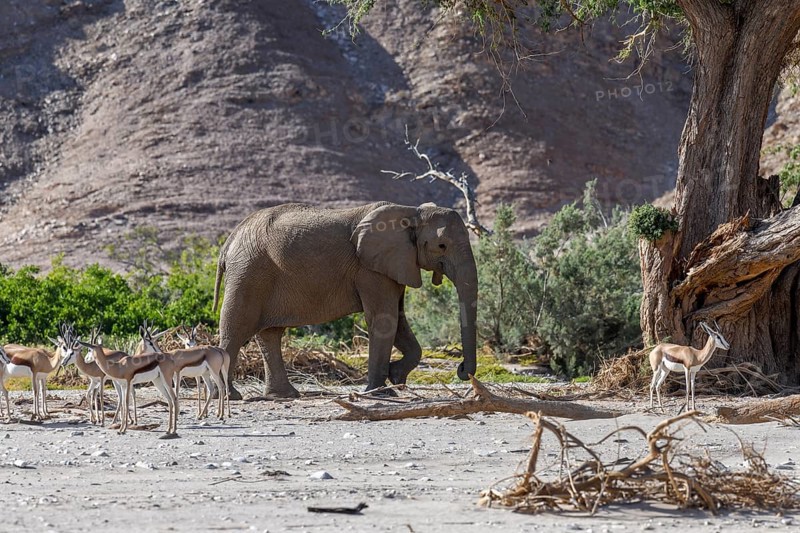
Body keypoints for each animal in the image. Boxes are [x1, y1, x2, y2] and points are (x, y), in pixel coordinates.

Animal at [213, 201, 478, 399]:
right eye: (441, 245)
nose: (461, 369)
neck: (412, 212)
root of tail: (229, 241)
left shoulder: (393, 264)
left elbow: (399, 319)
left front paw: (396, 377)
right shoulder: (369, 268)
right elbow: (385, 319)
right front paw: (380, 393)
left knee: (270, 334)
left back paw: (284, 396)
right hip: (248, 272)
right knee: (236, 328)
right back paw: (228, 396)